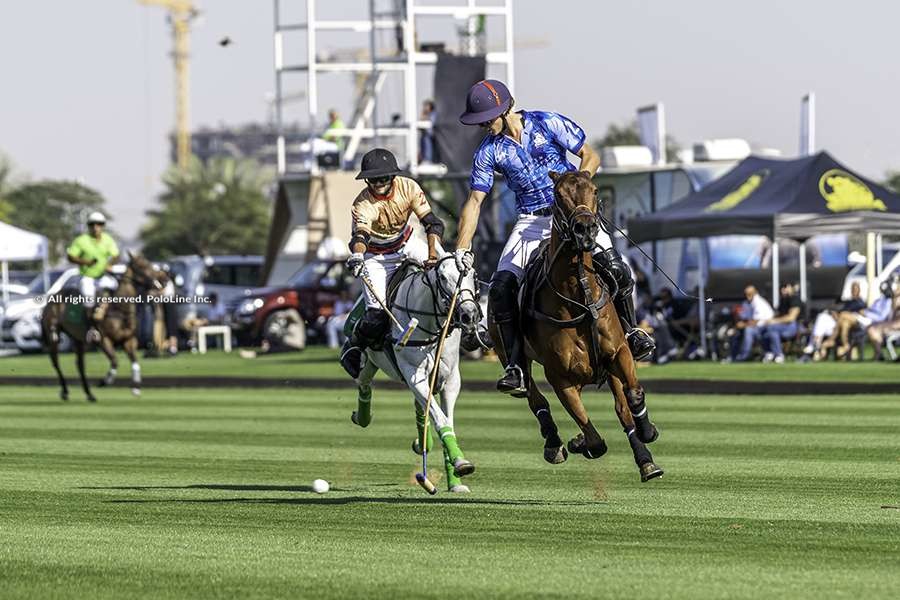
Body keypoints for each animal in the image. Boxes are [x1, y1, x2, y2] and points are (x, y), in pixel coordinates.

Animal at [42, 251, 166, 400]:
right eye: (142, 266)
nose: (162, 281)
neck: (119, 309)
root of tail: (52, 297)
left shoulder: (128, 340)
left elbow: (135, 362)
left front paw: (136, 388)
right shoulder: (104, 340)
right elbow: (114, 361)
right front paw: (104, 381)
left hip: (77, 339)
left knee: (80, 364)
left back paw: (89, 394)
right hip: (53, 335)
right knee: (55, 362)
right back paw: (65, 391)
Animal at [350, 253, 482, 492]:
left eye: (473, 275)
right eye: (442, 277)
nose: (469, 315)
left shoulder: (450, 379)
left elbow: (446, 419)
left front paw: (456, 480)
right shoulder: (414, 374)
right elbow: (441, 419)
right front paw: (460, 463)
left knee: (420, 408)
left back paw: (422, 443)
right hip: (369, 361)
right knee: (363, 382)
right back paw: (361, 415)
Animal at [492, 170, 660, 482]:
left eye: (594, 190)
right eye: (558, 195)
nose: (585, 230)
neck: (578, 294)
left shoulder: (618, 353)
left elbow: (631, 397)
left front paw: (647, 438)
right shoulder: (560, 376)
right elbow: (594, 437)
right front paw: (581, 443)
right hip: (511, 353)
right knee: (534, 397)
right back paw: (554, 442)